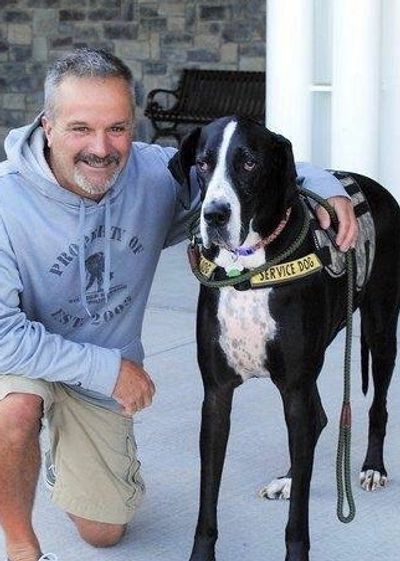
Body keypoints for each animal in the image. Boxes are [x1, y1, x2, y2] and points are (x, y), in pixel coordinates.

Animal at [171, 115, 400, 560]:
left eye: (249, 163)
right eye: (203, 163)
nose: (215, 215)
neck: (248, 270)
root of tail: (374, 186)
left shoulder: (293, 385)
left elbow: (298, 522)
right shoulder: (217, 395)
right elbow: (208, 497)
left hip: (381, 330)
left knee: (374, 406)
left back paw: (372, 467)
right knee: (316, 421)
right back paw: (292, 478)